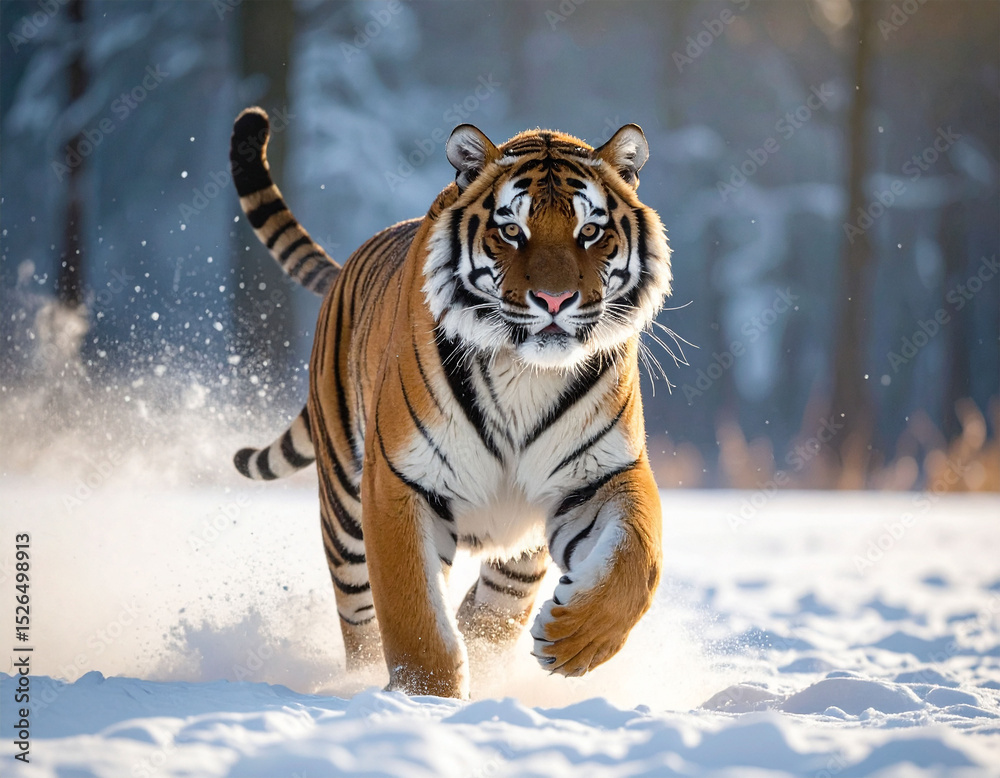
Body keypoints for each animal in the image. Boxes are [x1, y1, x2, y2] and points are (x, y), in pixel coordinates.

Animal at [230, 107, 673, 698]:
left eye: (590, 231)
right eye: (511, 230)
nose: (555, 300)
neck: (524, 370)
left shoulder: (601, 474)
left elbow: (638, 559)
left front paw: (574, 640)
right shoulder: (397, 482)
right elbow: (413, 614)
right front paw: (428, 700)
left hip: (518, 554)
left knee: (493, 611)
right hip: (344, 510)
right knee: (360, 618)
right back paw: (358, 682)